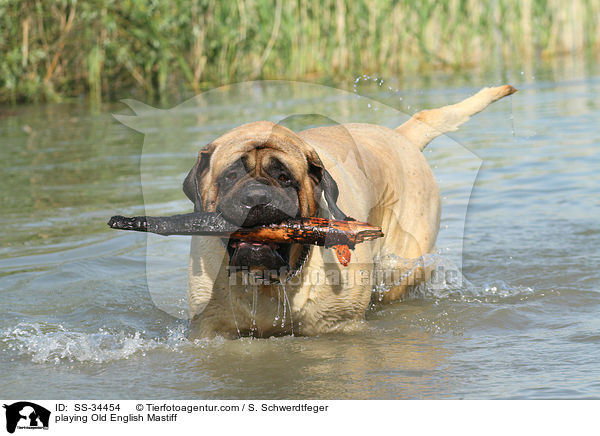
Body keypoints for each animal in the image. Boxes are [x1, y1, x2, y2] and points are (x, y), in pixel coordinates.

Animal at [183, 84, 516, 338]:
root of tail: (401, 136)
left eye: (284, 177)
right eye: (230, 176)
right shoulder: (210, 327)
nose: (256, 198)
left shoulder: (342, 325)